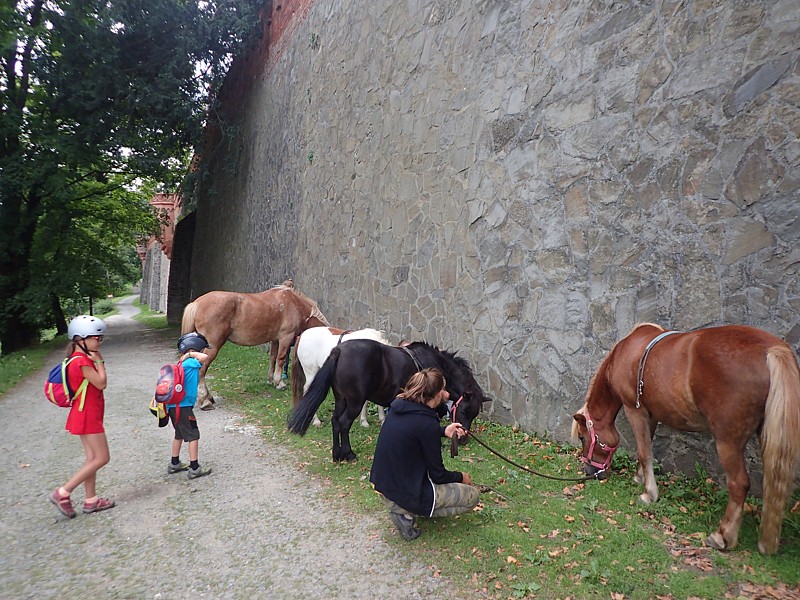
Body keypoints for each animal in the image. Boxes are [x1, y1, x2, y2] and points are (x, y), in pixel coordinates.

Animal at [180, 280, 328, 408]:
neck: (295, 305)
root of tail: (196, 303)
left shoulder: (275, 340)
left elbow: (273, 358)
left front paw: (271, 380)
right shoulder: (285, 337)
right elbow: (280, 359)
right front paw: (279, 382)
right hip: (212, 346)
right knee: (201, 368)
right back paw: (205, 400)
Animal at [284, 340, 490, 462]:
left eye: (474, 414)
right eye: (464, 411)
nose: (463, 439)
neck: (436, 366)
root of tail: (339, 350)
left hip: (341, 399)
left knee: (335, 422)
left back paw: (337, 455)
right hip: (355, 402)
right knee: (343, 423)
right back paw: (348, 454)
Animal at [572, 326, 800, 556]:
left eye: (583, 438)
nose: (590, 472)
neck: (627, 352)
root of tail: (773, 349)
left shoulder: (634, 410)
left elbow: (644, 452)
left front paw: (649, 494)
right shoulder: (650, 414)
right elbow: (647, 448)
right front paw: (640, 478)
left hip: (727, 441)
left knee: (739, 484)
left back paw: (721, 536)